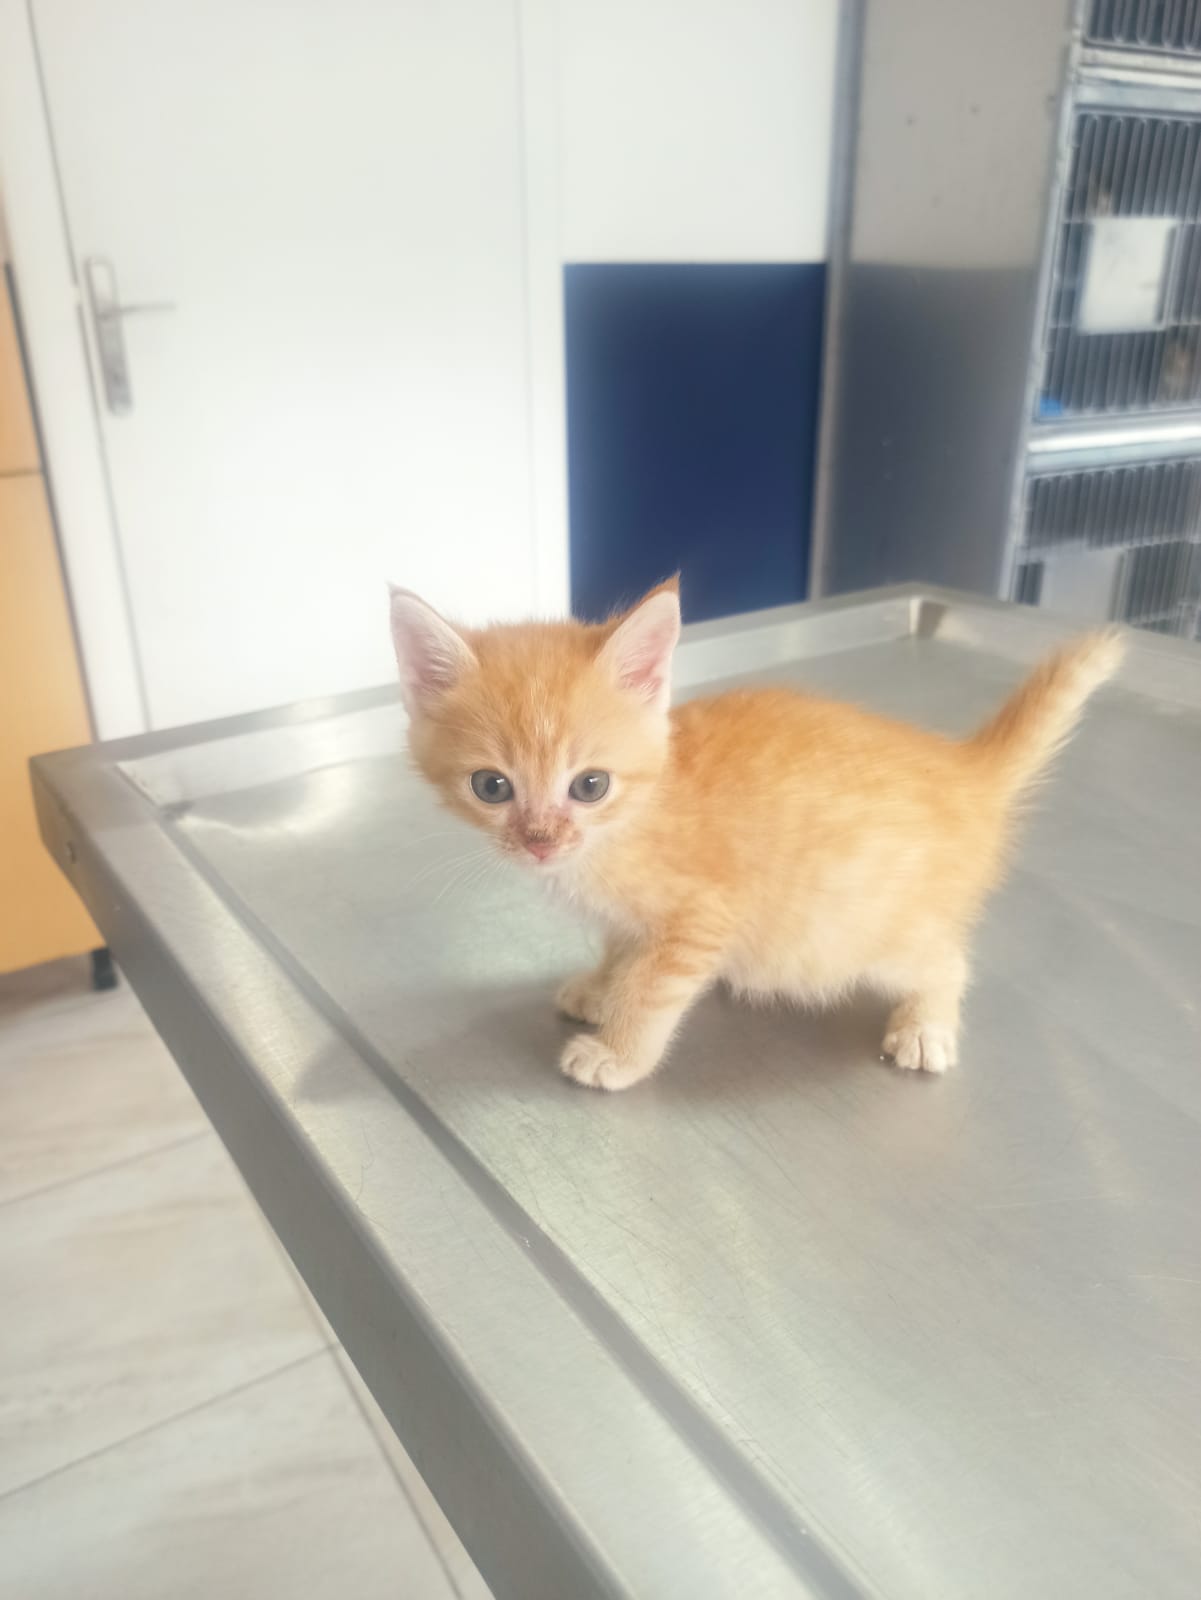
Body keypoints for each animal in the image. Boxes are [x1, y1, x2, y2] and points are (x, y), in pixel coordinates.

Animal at [390, 578, 1124, 1091]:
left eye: (589, 786)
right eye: (491, 787)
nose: (540, 841)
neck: (634, 816)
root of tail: (965, 770)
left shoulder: (700, 918)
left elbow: (653, 990)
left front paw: (619, 1052)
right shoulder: (633, 919)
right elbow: (624, 952)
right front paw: (600, 989)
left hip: (860, 932)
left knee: (946, 959)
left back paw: (925, 1026)